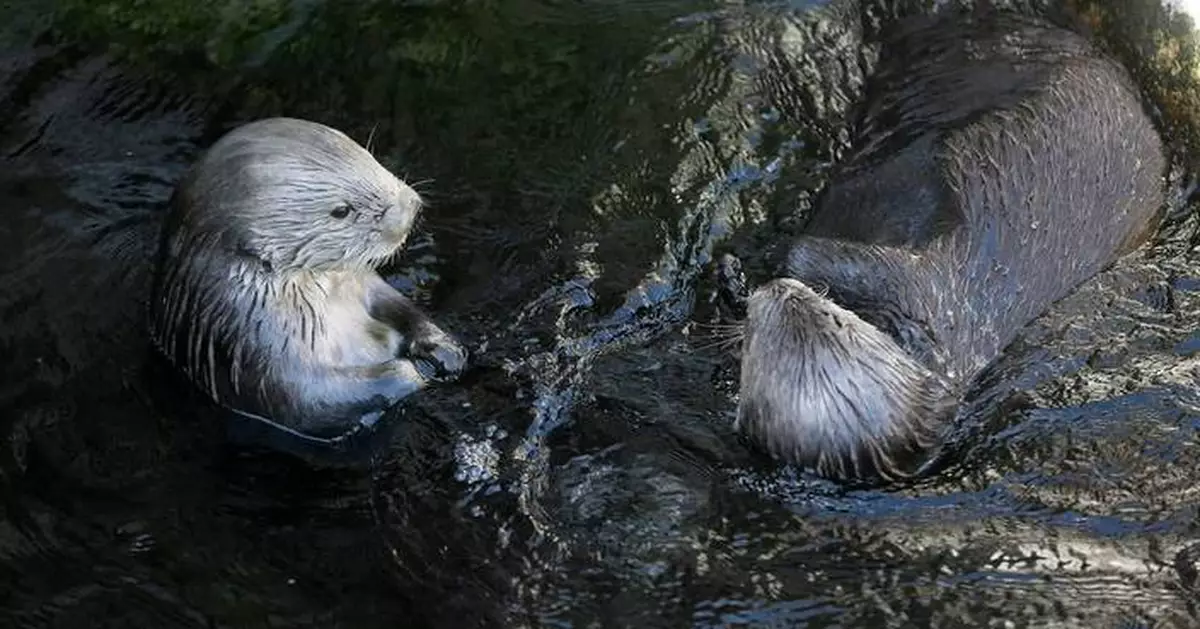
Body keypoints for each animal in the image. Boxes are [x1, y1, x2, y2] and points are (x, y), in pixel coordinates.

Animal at [148, 117, 466, 441]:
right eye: (341, 210)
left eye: (369, 157)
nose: (412, 207)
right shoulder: (258, 353)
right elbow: (313, 403)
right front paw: (414, 370)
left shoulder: (363, 283)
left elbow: (398, 305)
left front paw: (443, 348)